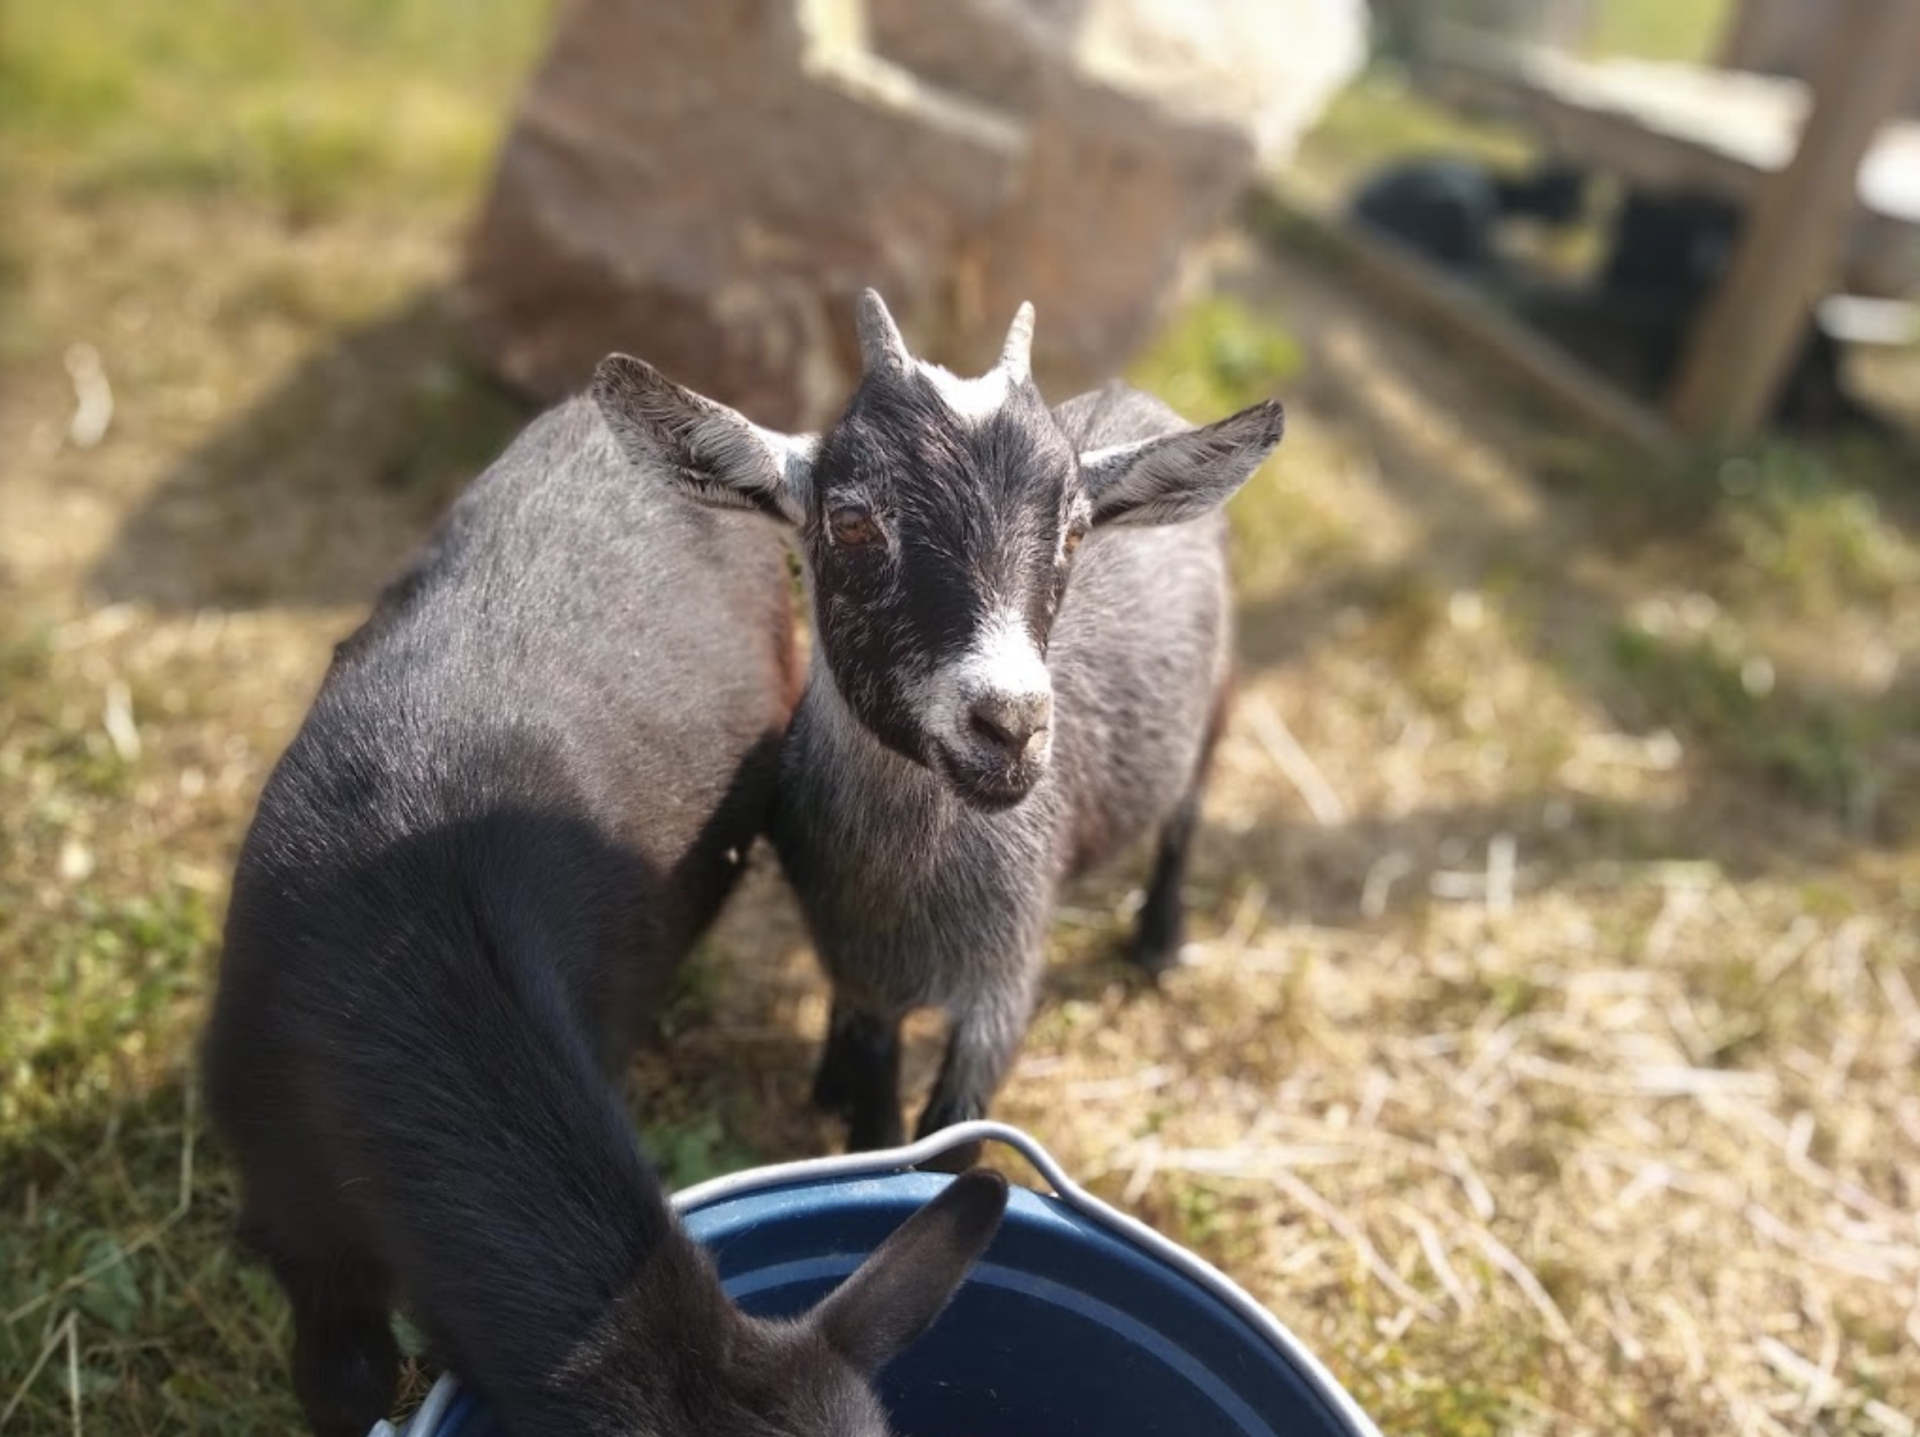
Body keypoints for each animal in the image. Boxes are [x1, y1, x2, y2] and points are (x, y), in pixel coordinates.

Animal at [591, 289, 1285, 1150]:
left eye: (1075, 530)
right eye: (851, 521)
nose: (1012, 724)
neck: (909, 893)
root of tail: (1140, 397)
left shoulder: (1003, 983)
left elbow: (953, 1129)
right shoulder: (862, 973)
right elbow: (881, 1109)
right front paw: (848, 1108)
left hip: (1218, 701)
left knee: (1185, 816)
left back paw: (1160, 944)